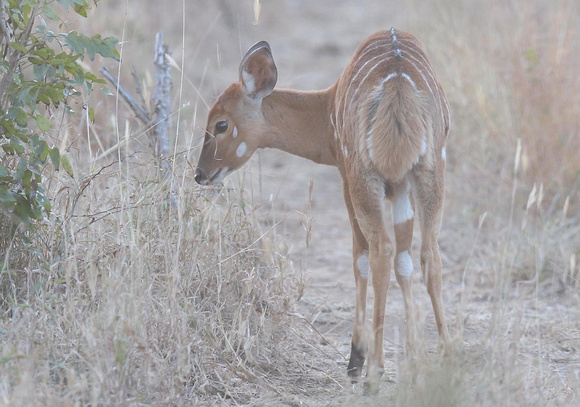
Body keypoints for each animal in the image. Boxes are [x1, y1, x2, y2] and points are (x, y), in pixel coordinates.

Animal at [197, 27, 450, 392]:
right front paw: (416, 360)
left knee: (380, 250)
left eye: (220, 124)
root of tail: (399, 88)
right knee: (428, 253)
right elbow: (406, 262)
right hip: (430, 171)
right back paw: (448, 353)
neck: (326, 105)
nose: (200, 174)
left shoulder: (346, 175)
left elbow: (361, 257)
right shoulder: (401, 184)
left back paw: (373, 372)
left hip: (365, 178)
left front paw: (357, 360)